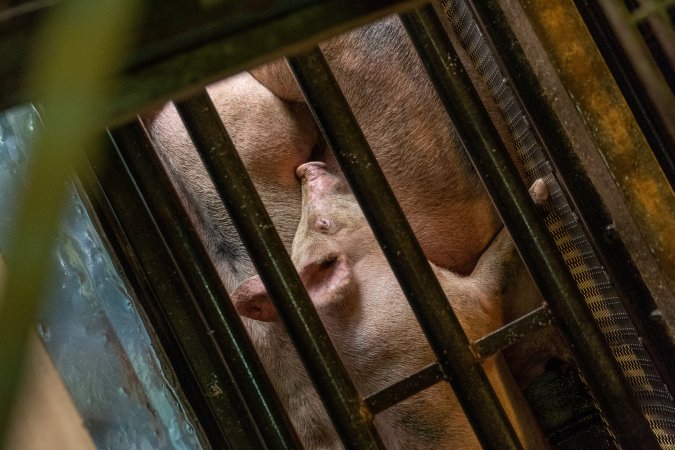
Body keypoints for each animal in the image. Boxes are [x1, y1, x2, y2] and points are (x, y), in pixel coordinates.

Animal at [231, 163, 544, 450]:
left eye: (307, 228)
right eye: (323, 224)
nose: (303, 170)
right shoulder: (466, 309)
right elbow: (493, 265)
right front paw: (539, 188)